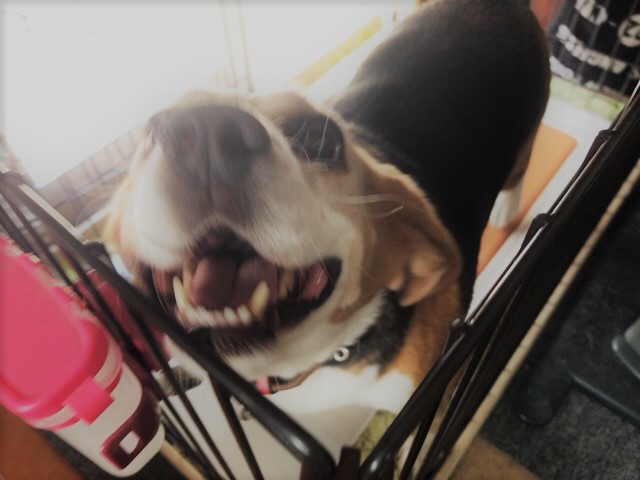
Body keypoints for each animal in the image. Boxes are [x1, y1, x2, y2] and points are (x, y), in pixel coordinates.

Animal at [107, 0, 550, 414]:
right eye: (150, 128)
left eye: (323, 140)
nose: (205, 134)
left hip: (527, 135)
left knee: (520, 169)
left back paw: (507, 208)